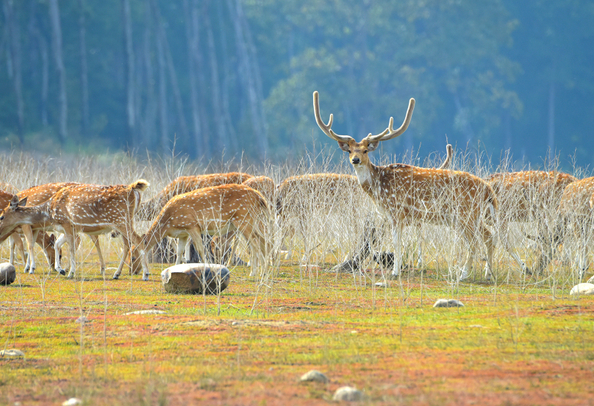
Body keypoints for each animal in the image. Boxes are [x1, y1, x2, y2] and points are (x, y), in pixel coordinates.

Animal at [0, 180, 149, 280]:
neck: (50, 214)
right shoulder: (69, 227)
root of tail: (133, 189)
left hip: (121, 221)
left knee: (139, 240)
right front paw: (60, 269)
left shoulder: (67, 223)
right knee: (129, 243)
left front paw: (70, 272)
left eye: (1, 216)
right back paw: (116, 274)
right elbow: (58, 244)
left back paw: (145, 274)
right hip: (123, 223)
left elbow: (70, 248)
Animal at [131, 186, 272, 278]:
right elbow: (179, 252)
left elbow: (200, 249)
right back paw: (262, 271)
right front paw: (172, 271)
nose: (133, 271)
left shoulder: (192, 225)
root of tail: (260, 197)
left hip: (243, 219)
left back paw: (257, 272)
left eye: (133, 256)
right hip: (254, 221)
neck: (168, 223)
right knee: (264, 241)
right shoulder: (183, 233)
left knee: (256, 243)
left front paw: (208, 269)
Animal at [312, 89, 498, 280]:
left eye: (365, 150)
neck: (379, 187)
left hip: (465, 213)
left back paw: (463, 274)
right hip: (471, 216)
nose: (355, 160)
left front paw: (395, 271)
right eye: (349, 150)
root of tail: (488, 189)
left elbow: (396, 241)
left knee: (475, 242)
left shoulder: (396, 211)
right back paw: (488, 274)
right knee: (489, 237)